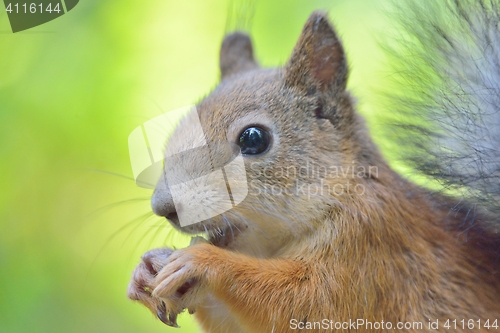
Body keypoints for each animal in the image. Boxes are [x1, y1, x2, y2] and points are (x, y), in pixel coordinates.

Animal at [126, 1, 500, 330]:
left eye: (253, 139)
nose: (164, 207)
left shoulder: (372, 248)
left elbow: (305, 303)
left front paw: (202, 262)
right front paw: (148, 267)